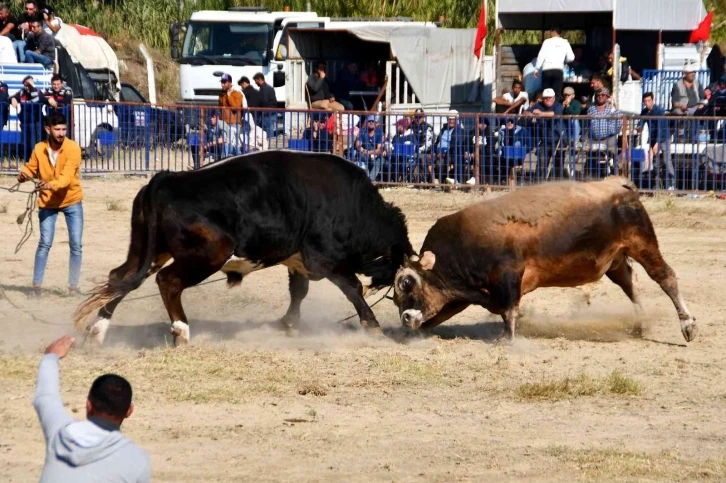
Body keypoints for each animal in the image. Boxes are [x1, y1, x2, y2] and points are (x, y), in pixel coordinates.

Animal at [75, 152, 416, 348]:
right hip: (209, 254)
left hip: (151, 252)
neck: (355, 205)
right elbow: (353, 288)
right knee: (168, 281)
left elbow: (299, 291)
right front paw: (372, 325)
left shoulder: (298, 261)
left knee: (121, 279)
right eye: (404, 278)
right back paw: (182, 331)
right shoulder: (325, 259)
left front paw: (288, 324)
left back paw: (98, 332)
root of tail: (168, 178)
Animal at [396, 178, 704, 344]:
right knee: (631, 285)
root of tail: (618, 184)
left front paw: (507, 338)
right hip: (615, 262)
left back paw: (687, 325)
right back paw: (639, 325)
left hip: (643, 243)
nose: (405, 317)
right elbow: (440, 315)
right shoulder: (461, 294)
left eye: (408, 282)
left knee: (666, 278)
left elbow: (510, 311)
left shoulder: (509, 276)